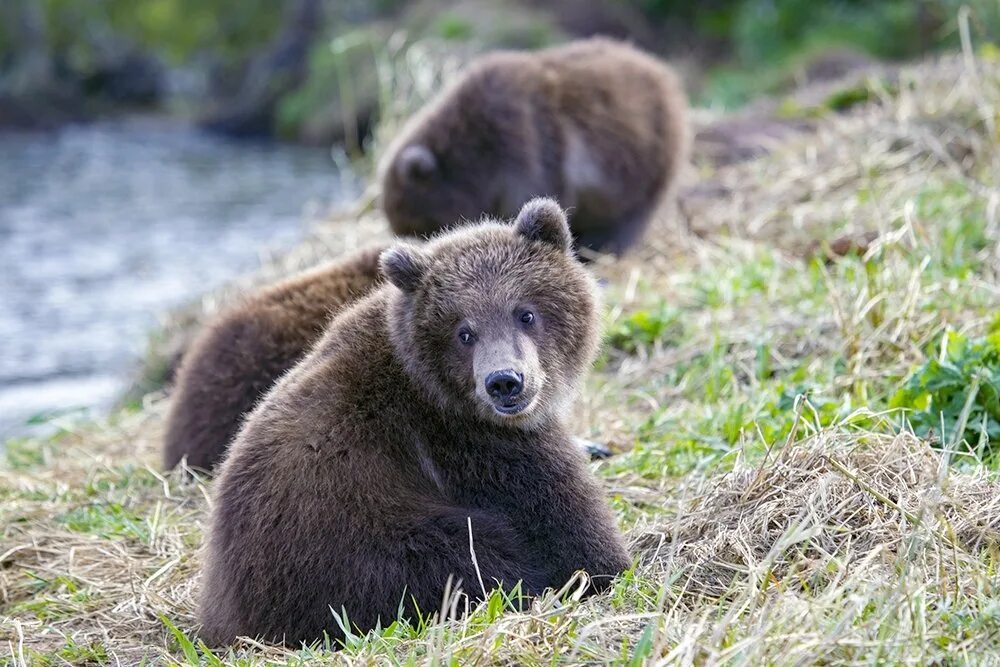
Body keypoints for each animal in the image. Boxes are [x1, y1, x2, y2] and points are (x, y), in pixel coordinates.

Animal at [199, 198, 628, 648]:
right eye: (464, 332)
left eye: (524, 313)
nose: (504, 382)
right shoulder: (473, 448)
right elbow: (576, 536)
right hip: (353, 545)